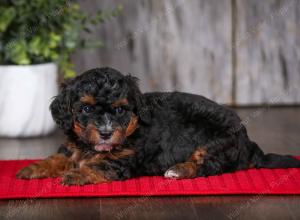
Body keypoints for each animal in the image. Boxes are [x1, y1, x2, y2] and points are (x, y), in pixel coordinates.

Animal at [17, 67, 300, 186]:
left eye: (119, 110)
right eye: (85, 109)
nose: (106, 133)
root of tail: (249, 142)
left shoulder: (122, 159)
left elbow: (99, 165)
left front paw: (76, 175)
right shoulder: (72, 146)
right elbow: (57, 158)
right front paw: (33, 168)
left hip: (217, 141)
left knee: (208, 165)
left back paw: (178, 170)